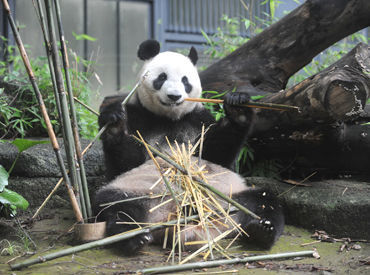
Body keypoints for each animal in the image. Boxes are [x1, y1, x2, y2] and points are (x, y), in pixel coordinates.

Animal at [94, 40, 284, 256]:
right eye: (162, 77)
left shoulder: (199, 120)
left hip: (228, 196)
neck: (170, 118)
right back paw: (135, 237)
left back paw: (263, 230)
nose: (174, 96)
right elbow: (124, 164)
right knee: (116, 206)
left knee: (264, 200)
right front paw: (113, 121)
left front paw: (238, 108)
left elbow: (217, 155)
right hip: (139, 191)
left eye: (185, 80)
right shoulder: (138, 116)